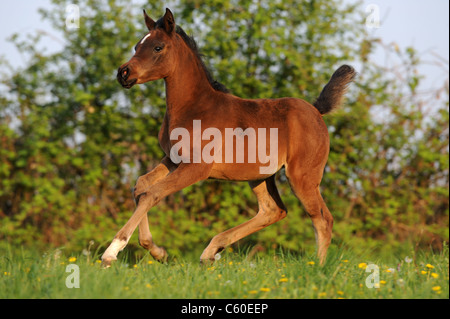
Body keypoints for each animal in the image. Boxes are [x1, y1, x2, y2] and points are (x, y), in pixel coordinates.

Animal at [101, 8, 356, 268]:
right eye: (136, 46)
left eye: (157, 47)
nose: (123, 73)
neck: (194, 107)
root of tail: (316, 111)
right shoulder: (172, 159)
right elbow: (141, 185)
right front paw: (156, 251)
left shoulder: (197, 167)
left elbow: (152, 193)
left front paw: (112, 251)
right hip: (259, 176)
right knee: (273, 210)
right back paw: (211, 250)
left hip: (302, 176)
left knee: (322, 218)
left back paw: (317, 268)